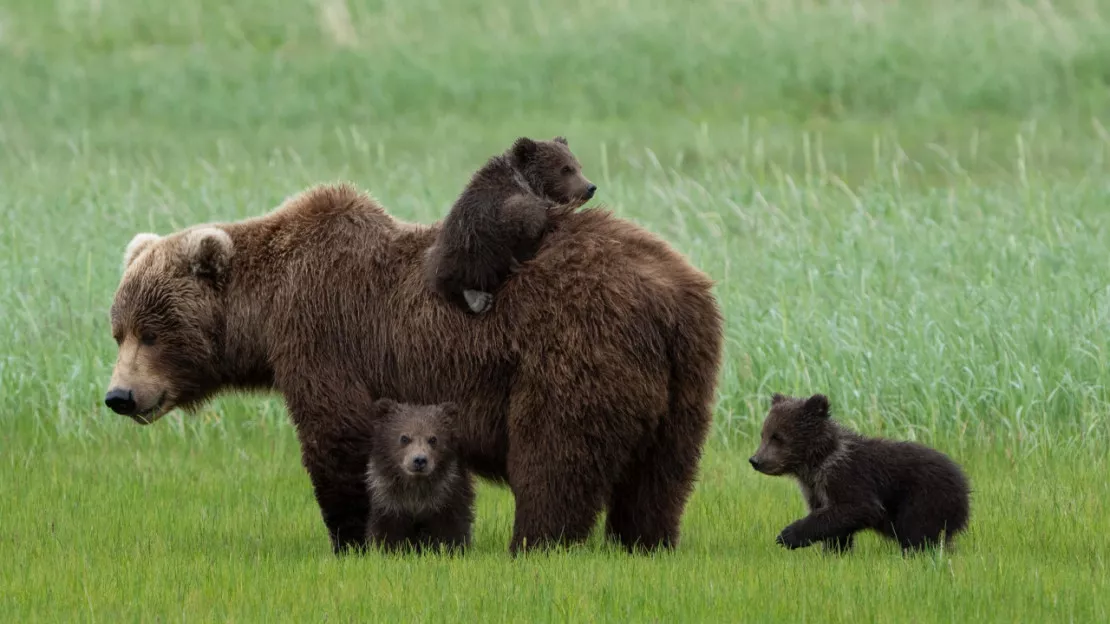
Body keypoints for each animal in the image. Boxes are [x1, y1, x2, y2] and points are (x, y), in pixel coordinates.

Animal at [104, 180, 723, 552]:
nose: (119, 396)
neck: (267, 311)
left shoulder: (325, 338)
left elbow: (339, 437)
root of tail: (673, 293)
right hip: (689, 373)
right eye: (119, 330)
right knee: (662, 472)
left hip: (573, 347)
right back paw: (645, 541)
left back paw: (536, 543)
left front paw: (353, 537)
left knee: (556, 454)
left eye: (152, 333)